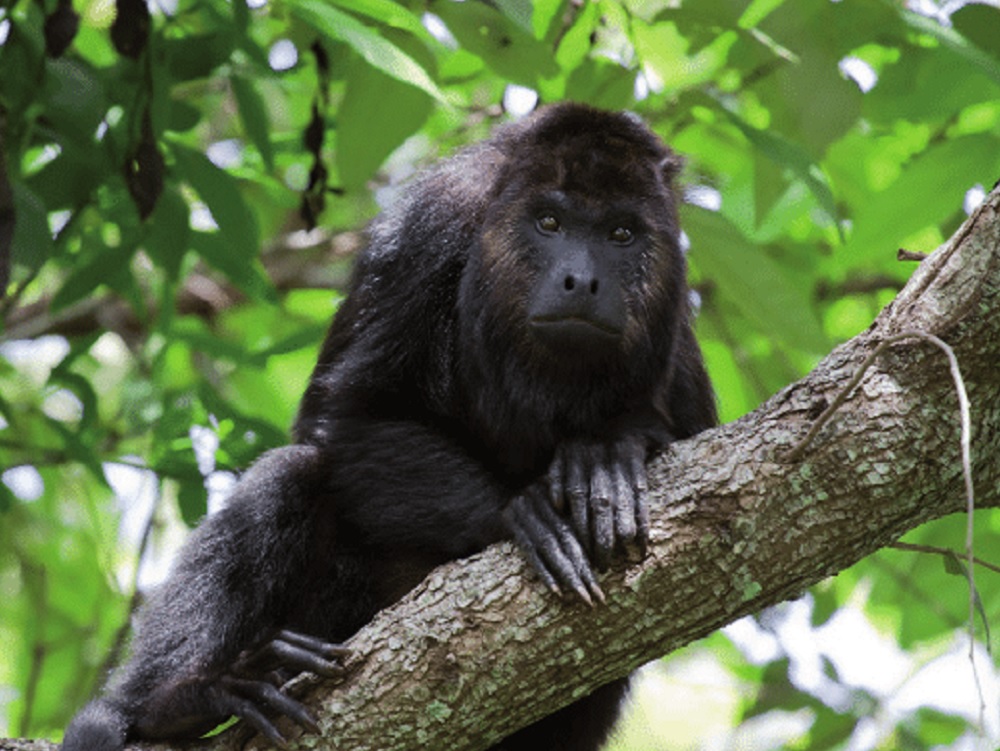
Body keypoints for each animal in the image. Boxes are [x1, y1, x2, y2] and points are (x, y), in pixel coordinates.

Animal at [62, 104, 716, 751]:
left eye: (621, 234)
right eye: (549, 222)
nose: (581, 280)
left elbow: (693, 433)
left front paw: (605, 455)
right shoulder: (431, 228)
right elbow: (347, 415)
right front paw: (519, 510)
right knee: (288, 475)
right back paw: (179, 701)